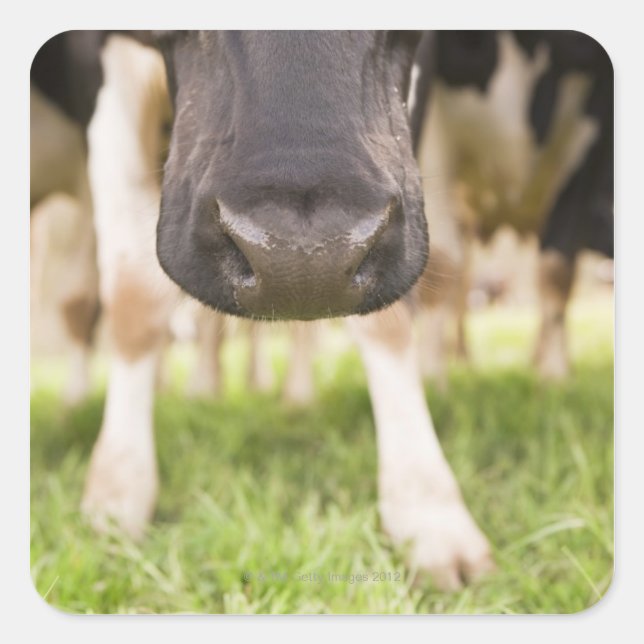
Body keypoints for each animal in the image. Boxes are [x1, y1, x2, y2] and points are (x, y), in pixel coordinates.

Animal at [409, 30, 613, 381]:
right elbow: (442, 261)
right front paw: (433, 376)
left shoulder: (595, 116)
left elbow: (557, 267)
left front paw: (555, 377)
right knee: (461, 277)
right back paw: (461, 360)